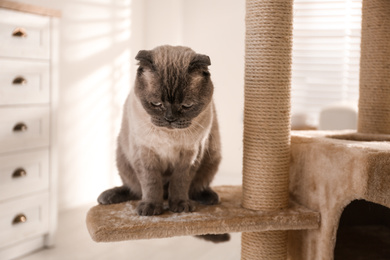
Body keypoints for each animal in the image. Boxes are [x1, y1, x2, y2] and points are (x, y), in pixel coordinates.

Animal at [99, 45, 224, 218]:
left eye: (186, 106)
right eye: (157, 104)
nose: (170, 118)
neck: (168, 135)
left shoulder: (190, 156)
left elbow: (179, 183)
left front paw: (179, 206)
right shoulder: (145, 154)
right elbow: (151, 185)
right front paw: (150, 208)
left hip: (213, 157)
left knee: (195, 188)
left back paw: (209, 197)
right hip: (122, 159)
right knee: (134, 189)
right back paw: (107, 197)